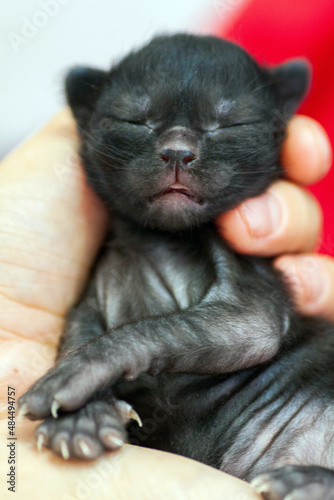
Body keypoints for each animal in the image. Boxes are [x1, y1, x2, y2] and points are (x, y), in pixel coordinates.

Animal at [18, 33, 334, 498]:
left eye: (231, 124)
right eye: (133, 120)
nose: (177, 153)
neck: (163, 240)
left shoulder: (252, 295)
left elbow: (165, 330)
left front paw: (73, 376)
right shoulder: (93, 291)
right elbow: (77, 332)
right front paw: (80, 421)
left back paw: (305, 480)